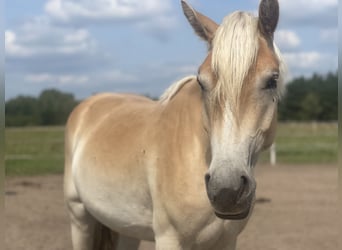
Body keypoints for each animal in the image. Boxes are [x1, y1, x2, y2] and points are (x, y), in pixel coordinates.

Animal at [65, 0, 286, 250]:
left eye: (272, 80)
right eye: (202, 82)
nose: (226, 190)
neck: (195, 155)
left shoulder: (227, 241)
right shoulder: (169, 238)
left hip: (125, 228)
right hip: (79, 217)